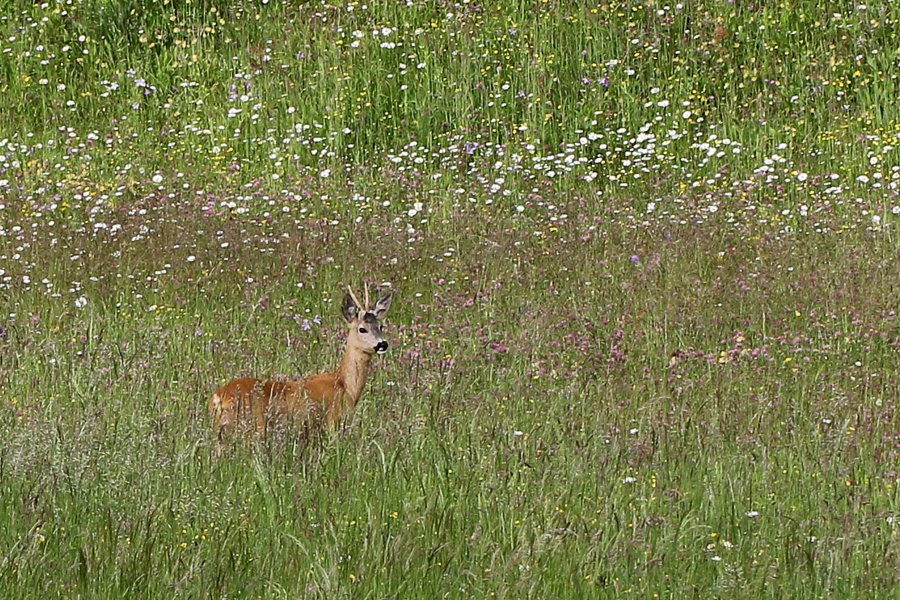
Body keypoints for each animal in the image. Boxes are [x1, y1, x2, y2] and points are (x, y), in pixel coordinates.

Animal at [213, 284, 396, 442]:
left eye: (380, 326)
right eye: (362, 329)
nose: (382, 344)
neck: (344, 385)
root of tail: (218, 398)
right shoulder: (332, 420)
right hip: (253, 425)